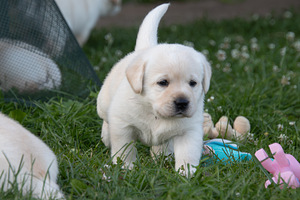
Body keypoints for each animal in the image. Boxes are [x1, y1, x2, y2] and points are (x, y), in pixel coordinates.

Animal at [97, 3, 212, 177]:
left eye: (193, 83)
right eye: (163, 82)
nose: (182, 102)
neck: (154, 111)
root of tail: (145, 49)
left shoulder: (189, 130)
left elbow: (188, 152)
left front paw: (186, 173)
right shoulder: (123, 125)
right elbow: (124, 149)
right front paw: (126, 167)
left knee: (162, 146)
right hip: (103, 102)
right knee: (105, 118)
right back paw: (106, 135)